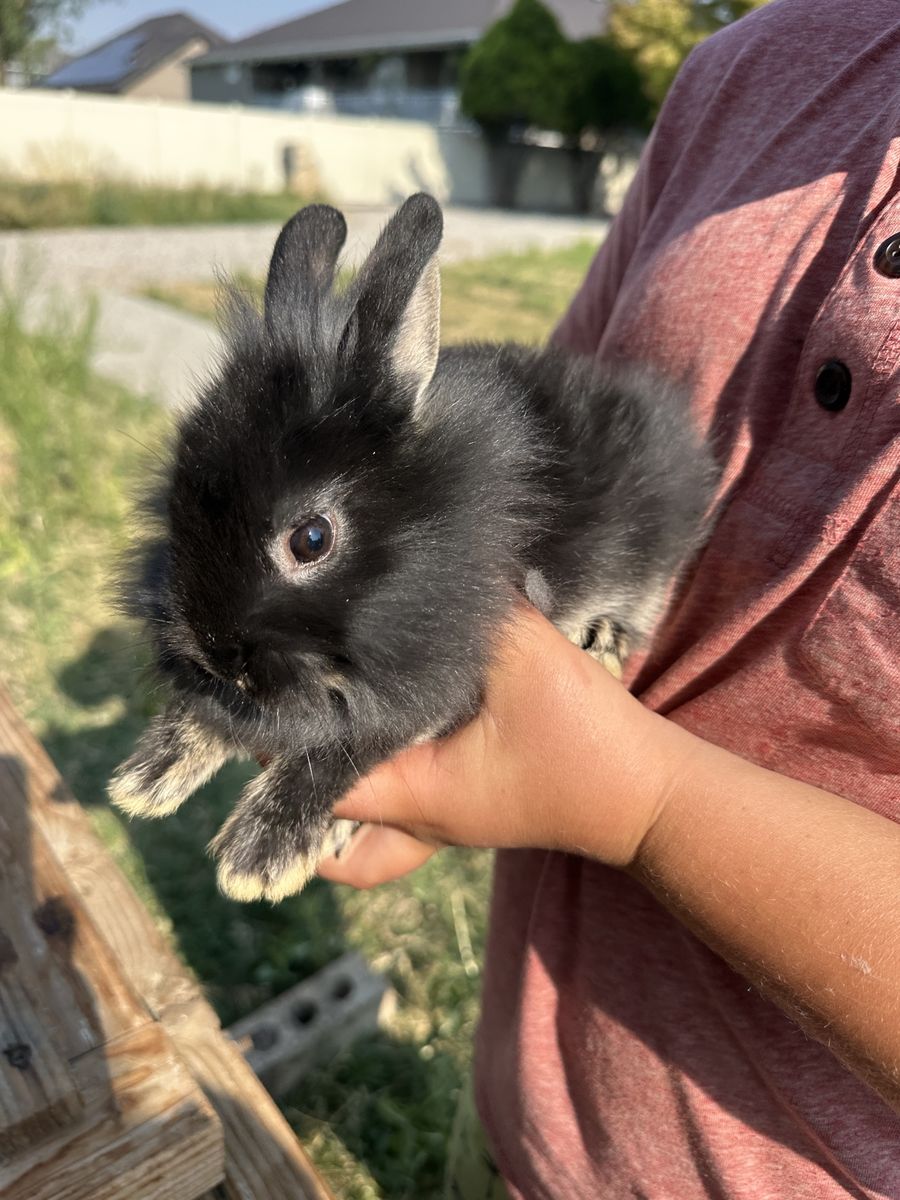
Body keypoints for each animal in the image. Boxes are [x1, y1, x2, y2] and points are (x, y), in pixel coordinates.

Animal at [109, 193, 716, 903]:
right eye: (178, 492)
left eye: (310, 540)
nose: (216, 656)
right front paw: (148, 776)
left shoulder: (440, 680)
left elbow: (350, 744)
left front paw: (259, 856)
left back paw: (603, 642)